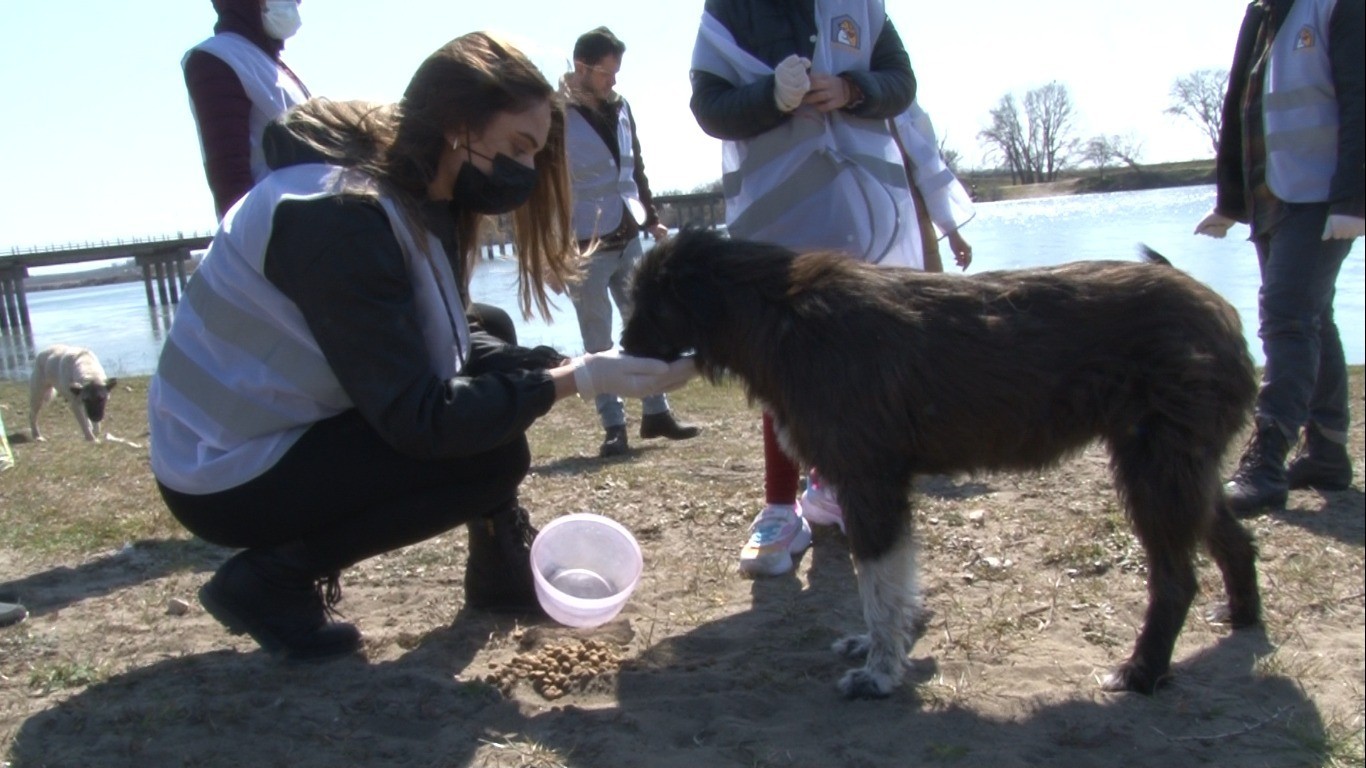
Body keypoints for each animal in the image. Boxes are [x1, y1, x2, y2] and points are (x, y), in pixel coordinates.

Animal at [625, 225, 1262, 694]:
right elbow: (895, 579)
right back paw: (1244, 617)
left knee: (1176, 580)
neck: (781, 312)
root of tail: (1218, 310)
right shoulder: (881, 487)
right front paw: (883, 646)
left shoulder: (869, 483)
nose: (625, 347)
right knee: (1235, 541)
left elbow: (877, 583)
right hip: (1183, 471)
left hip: (1157, 469)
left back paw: (1143, 671)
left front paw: (881, 671)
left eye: (646, 304)